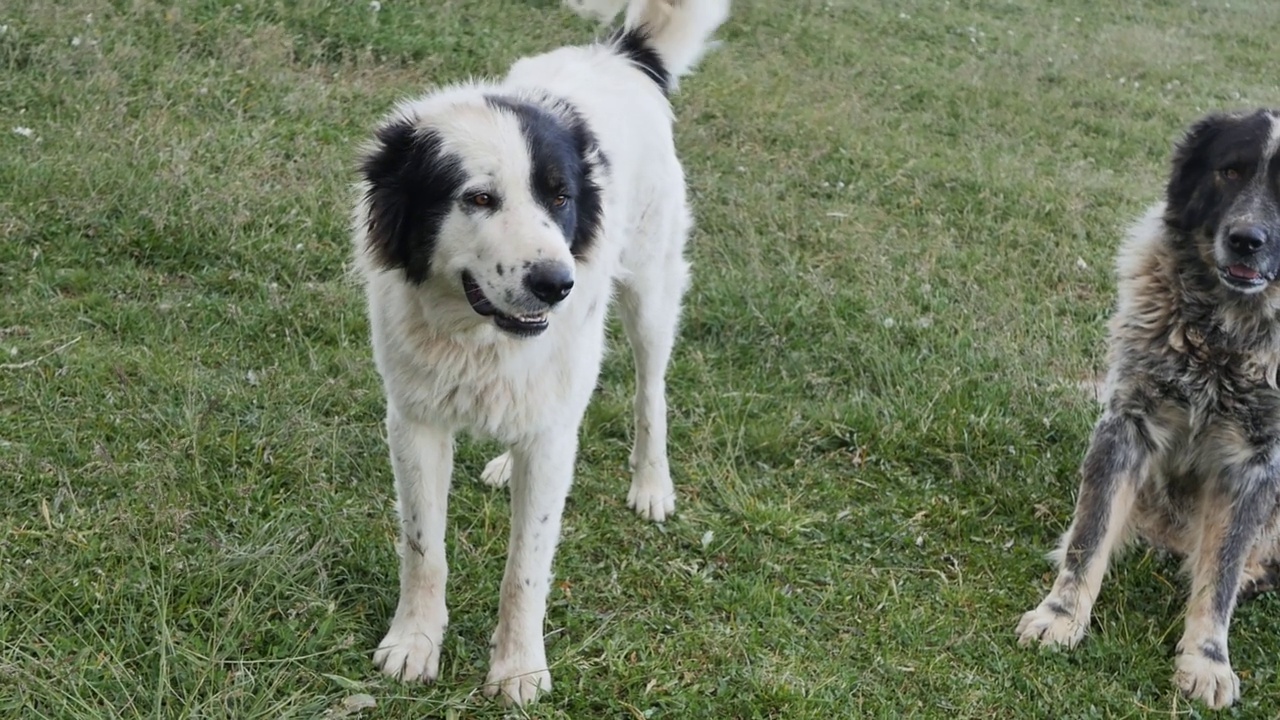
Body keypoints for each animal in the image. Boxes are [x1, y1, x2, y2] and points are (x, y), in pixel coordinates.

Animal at [350, 0, 732, 707]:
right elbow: (423, 546)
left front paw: (518, 669)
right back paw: (508, 462)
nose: (558, 285)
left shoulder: (553, 432)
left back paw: (651, 484)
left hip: (650, 292)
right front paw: (414, 643)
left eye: (560, 198)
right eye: (478, 198)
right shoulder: (414, 421)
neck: (480, 339)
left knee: (650, 391)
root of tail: (619, 54)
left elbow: (525, 565)